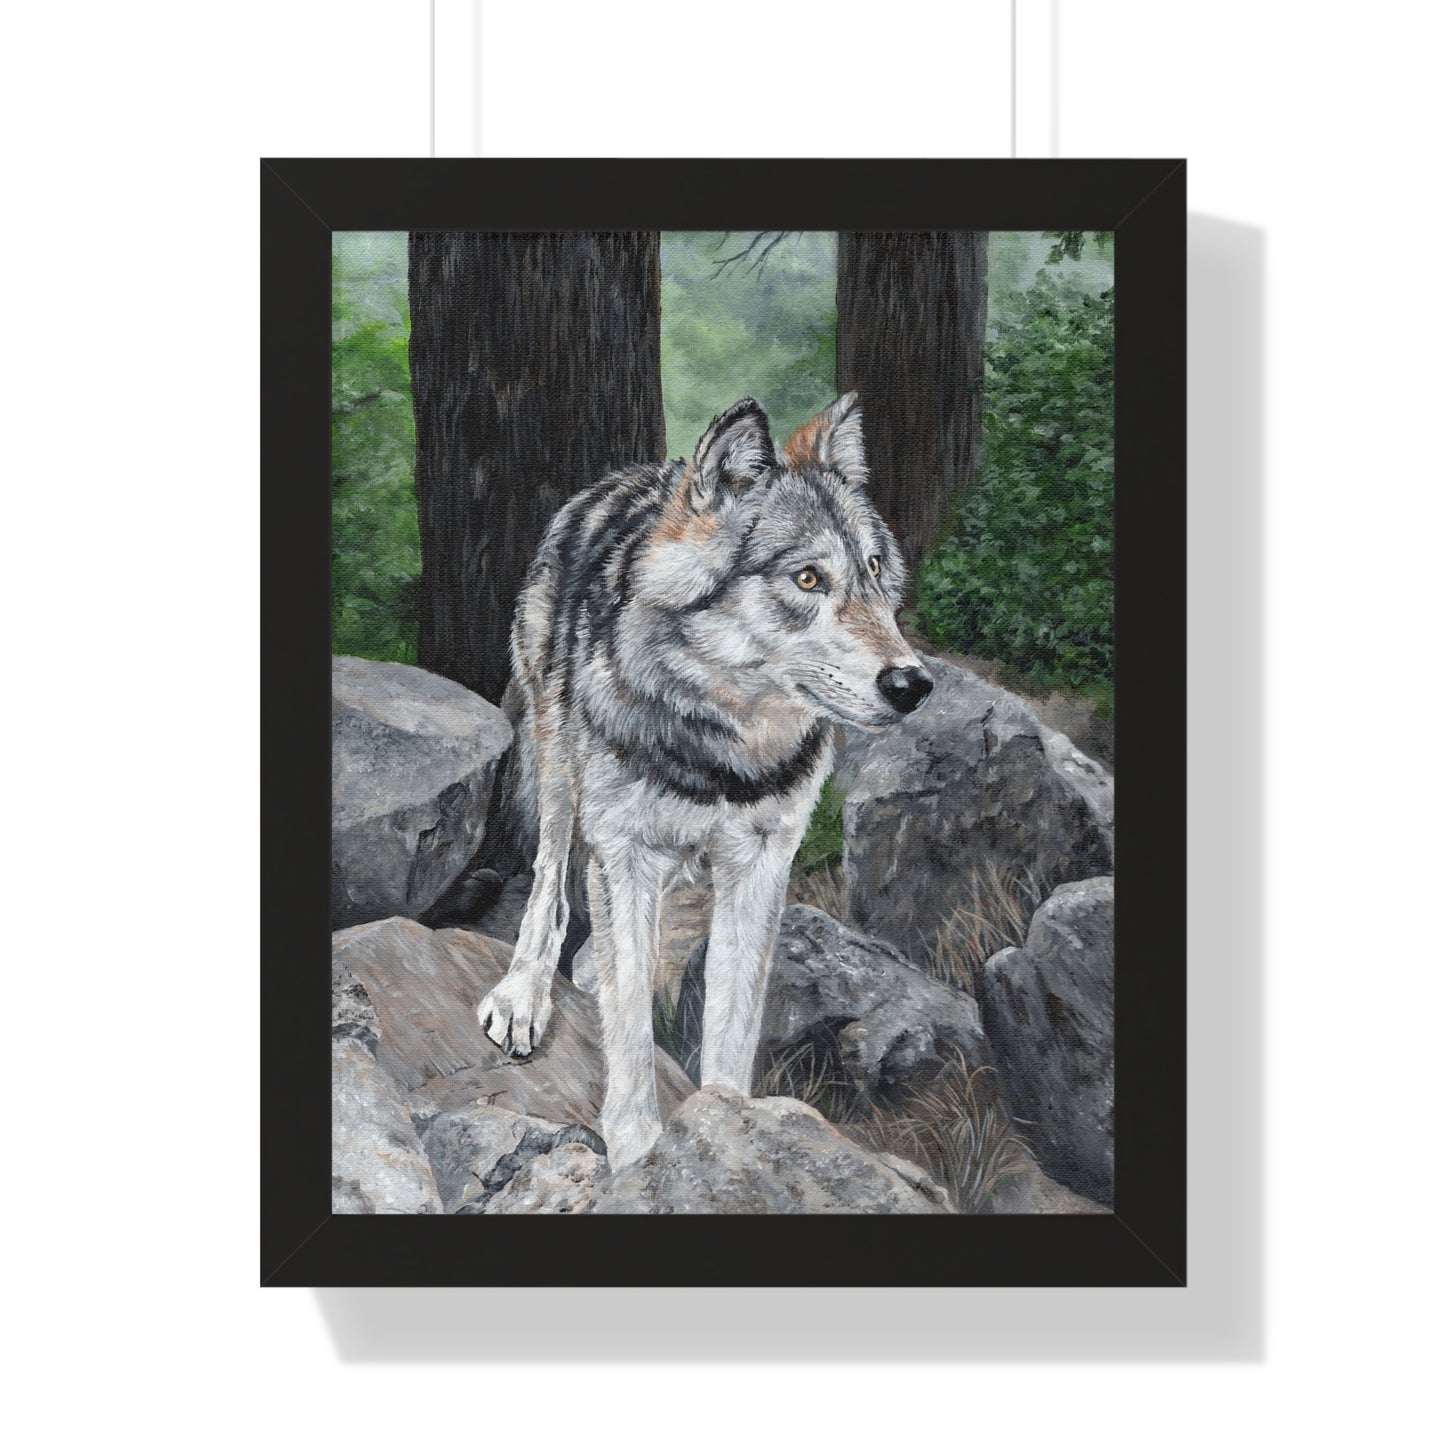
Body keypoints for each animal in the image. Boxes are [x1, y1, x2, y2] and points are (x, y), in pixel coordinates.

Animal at [477, 393, 933, 1166]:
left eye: (875, 570)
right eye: (807, 579)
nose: (913, 683)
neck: (723, 754)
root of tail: (629, 476)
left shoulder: (761, 864)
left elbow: (730, 1021)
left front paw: (729, 1130)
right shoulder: (624, 850)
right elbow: (630, 1021)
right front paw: (637, 1155)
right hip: (559, 766)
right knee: (549, 884)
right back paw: (524, 993)